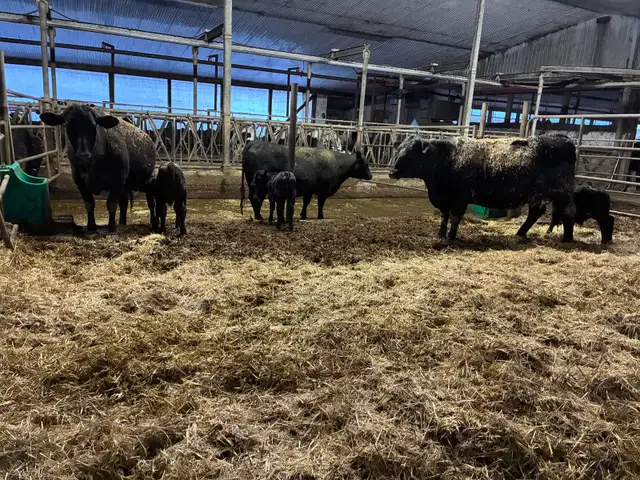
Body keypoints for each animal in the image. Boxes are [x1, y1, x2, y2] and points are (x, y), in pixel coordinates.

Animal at [40, 104, 157, 233]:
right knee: (124, 204)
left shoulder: (118, 180)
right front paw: (91, 226)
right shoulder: (79, 180)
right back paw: (122, 223)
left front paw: (111, 227)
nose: (83, 154)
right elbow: (89, 203)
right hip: (125, 187)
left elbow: (111, 204)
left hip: (146, 182)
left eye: (94, 125)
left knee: (150, 203)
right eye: (67, 125)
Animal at [241, 140, 372, 221]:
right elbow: (320, 204)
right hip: (258, 185)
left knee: (252, 197)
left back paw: (258, 216)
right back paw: (259, 216)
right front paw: (320, 216)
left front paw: (303, 215)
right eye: (365, 164)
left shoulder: (309, 189)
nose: (371, 176)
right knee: (256, 198)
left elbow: (306, 202)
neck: (337, 164)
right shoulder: (323, 191)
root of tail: (255, 142)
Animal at [389, 135, 577, 242]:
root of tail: (562, 138)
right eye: (397, 152)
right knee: (536, 212)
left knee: (568, 212)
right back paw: (520, 233)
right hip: (537, 195)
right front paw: (440, 235)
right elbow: (444, 216)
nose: (392, 172)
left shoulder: (460, 198)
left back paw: (567, 239)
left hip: (562, 193)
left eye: (409, 155)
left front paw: (451, 237)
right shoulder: (444, 198)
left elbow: (455, 218)